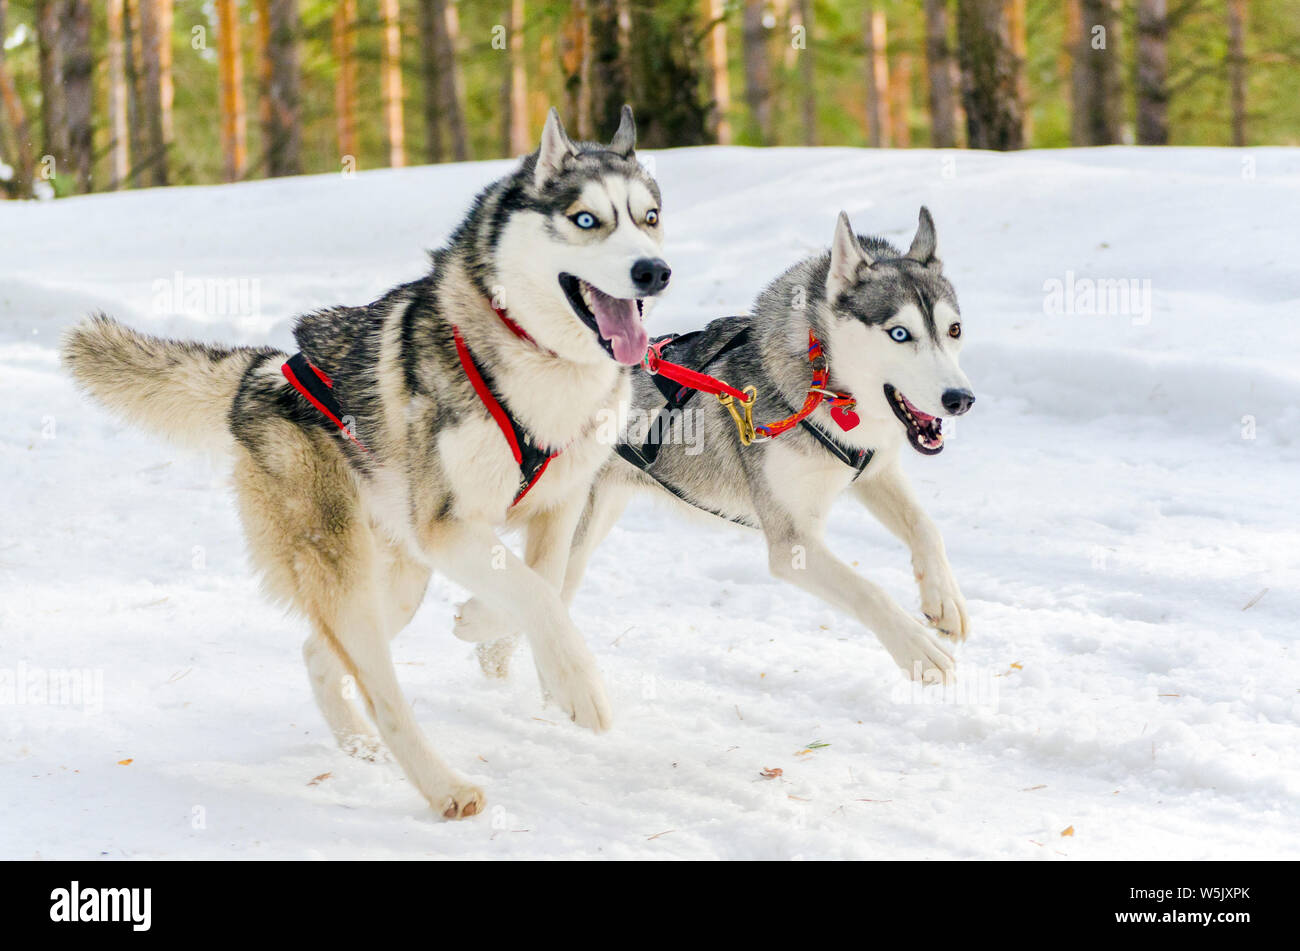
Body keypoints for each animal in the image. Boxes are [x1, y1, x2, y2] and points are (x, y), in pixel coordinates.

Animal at [61, 105, 670, 815]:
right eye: (585, 220)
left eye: (649, 217)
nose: (654, 271)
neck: (538, 358)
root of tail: (263, 373)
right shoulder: (447, 527)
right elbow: (539, 594)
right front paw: (578, 687)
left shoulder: (558, 504)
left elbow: (543, 584)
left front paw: (486, 629)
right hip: (350, 573)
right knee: (383, 694)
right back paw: (443, 787)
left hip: (396, 585)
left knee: (319, 653)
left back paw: (357, 745)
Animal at [457, 207, 977, 685]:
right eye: (899, 333)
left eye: (954, 330)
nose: (961, 399)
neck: (822, 385)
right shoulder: (794, 543)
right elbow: (869, 591)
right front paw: (917, 649)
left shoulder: (872, 471)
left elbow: (925, 527)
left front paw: (944, 600)